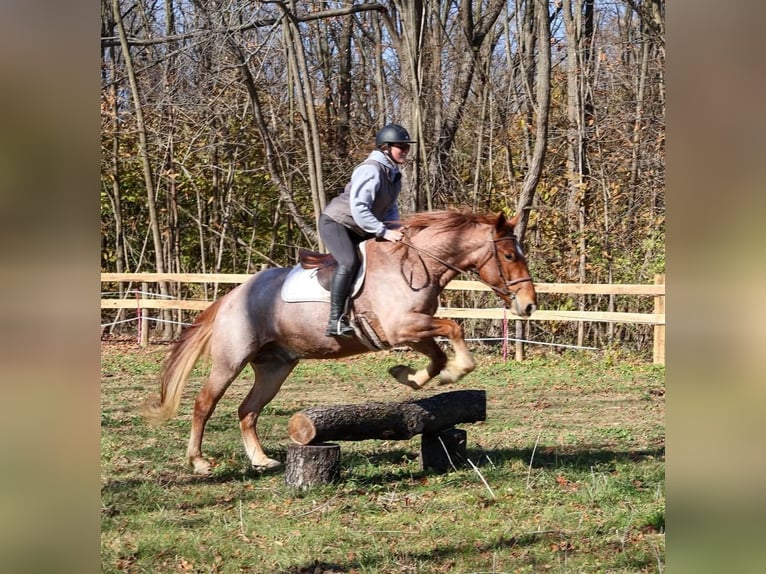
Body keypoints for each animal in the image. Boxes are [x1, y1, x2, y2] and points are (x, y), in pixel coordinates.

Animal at [143, 209, 537, 474]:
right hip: (231, 360)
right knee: (204, 403)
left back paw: (262, 460)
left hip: (275, 367)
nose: (529, 305)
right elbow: (454, 329)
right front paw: (451, 374)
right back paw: (199, 462)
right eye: (508, 255)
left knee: (248, 410)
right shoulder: (402, 327)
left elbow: (438, 354)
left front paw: (407, 375)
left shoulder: (412, 331)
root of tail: (231, 296)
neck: (416, 264)